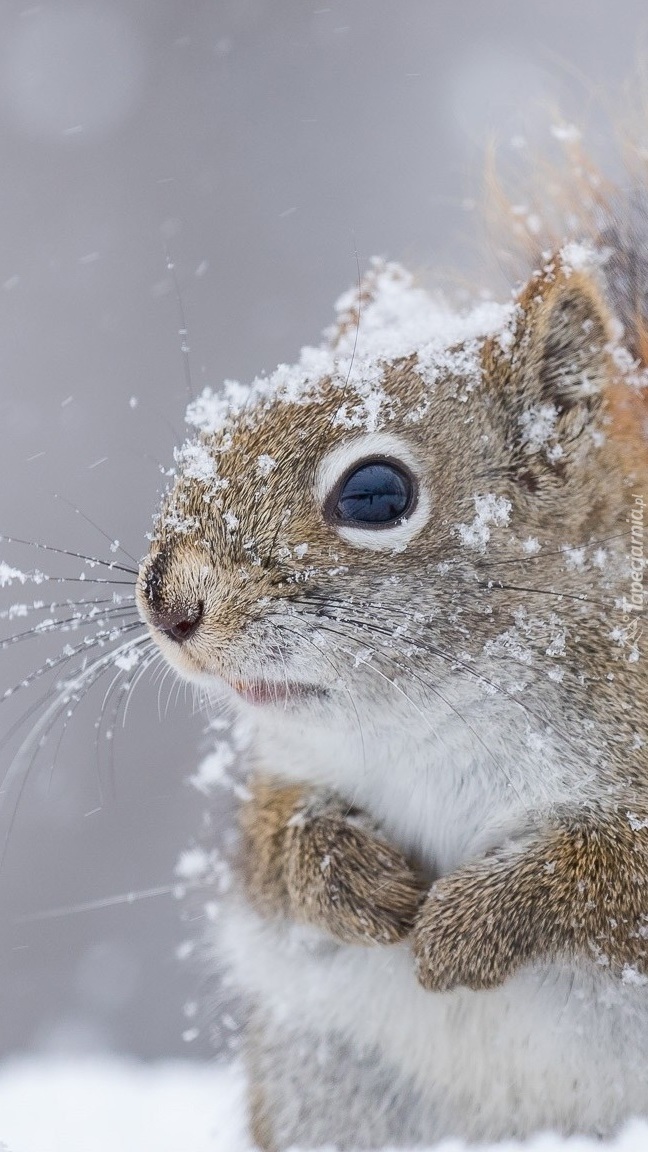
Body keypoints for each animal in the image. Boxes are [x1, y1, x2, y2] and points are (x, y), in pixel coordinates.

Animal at [134, 137, 645, 1152]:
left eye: (375, 494)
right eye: (216, 429)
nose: (167, 600)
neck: (440, 711)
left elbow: (614, 876)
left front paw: (469, 924)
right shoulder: (279, 774)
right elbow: (267, 851)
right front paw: (347, 877)